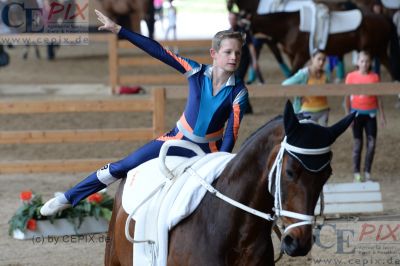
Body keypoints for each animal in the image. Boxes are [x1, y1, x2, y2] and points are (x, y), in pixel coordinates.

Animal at [228, 0, 400, 80]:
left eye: (242, 26)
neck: (289, 24)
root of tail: (383, 17)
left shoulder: (301, 55)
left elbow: (291, 74)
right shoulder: (290, 54)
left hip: (377, 49)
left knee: (391, 69)